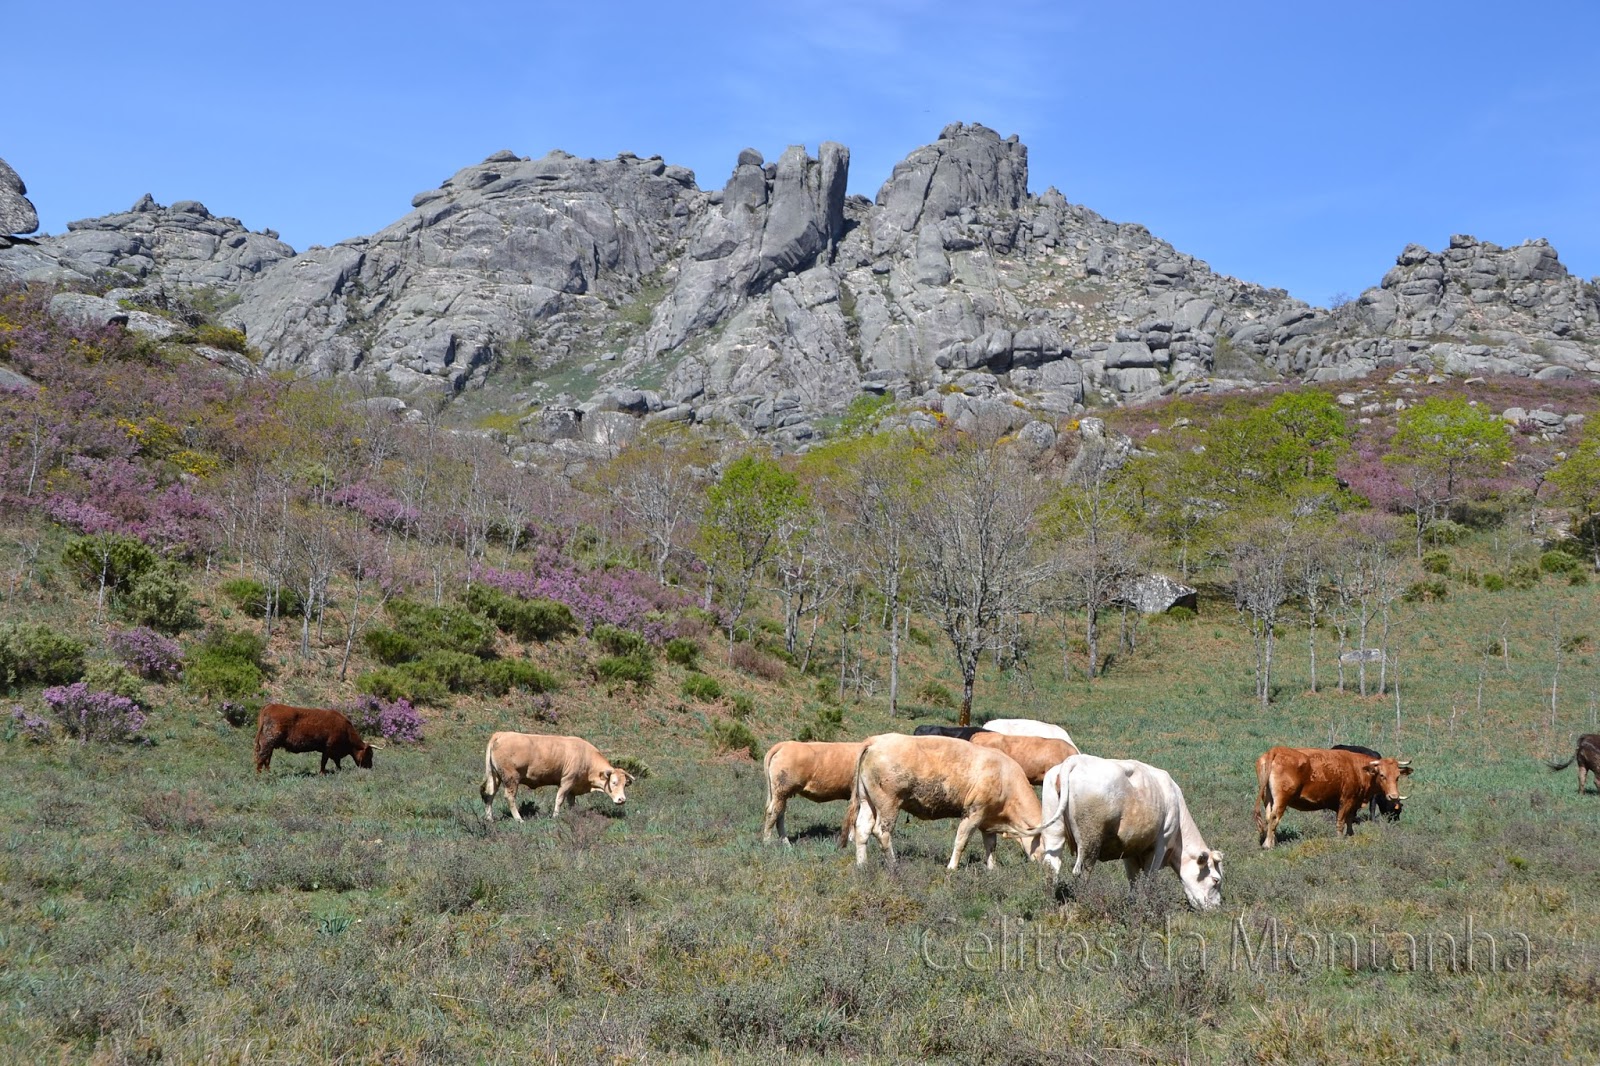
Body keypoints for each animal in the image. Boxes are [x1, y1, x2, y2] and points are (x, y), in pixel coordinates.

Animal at [481, 732, 633, 820]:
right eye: (613, 782)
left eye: (624, 784)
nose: (622, 799)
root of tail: (501, 734)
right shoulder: (566, 782)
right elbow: (559, 799)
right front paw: (555, 817)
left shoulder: (573, 787)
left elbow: (571, 802)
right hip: (511, 778)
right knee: (509, 797)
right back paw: (519, 819)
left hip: (495, 777)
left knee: (489, 795)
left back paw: (489, 819)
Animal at [844, 733, 1045, 870]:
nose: (1047, 867)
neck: (1005, 777)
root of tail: (875, 740)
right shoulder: (973, 812)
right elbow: (961, 841)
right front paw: (952, 868)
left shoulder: (987, 820)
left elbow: (991, 846)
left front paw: (991, 869)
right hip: (889, 803)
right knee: (882, 832)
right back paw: (894, 865)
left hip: (867, 801)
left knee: (862, 830)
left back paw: (862, 865)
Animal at [1025, 754, 1223, 910]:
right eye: (1216, 880)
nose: (1216, 907)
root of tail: (1075, 760)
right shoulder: (1160, 845)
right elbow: (1149, 879)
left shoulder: (1130, 849)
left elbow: (1133, 879)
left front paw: (1133, 903)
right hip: (1090, 840)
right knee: (1082, 871)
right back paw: (1082, 902)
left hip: (1054, 833)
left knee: (1051, 867)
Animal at [1254, 746, 1413, 848]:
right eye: (1382, 775)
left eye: (1397, 776)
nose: (1393, 796)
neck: (1357, 768)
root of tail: (1277, 750)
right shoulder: (1346, 800)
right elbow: (1341, 821)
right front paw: (1339, 839)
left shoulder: (1353, 802)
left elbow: (1349, 819)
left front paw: (1350, 835)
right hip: (1282, 799)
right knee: (1274, 817)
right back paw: (1268, 845)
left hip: (1268, 798)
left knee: (1269, 817)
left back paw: (1272, 841)